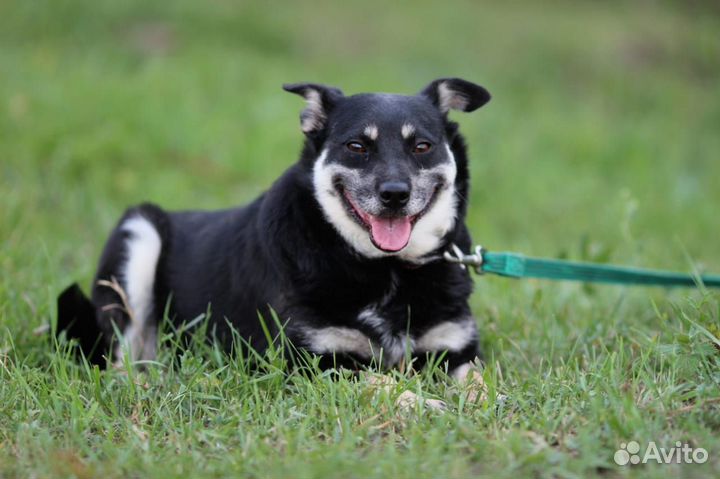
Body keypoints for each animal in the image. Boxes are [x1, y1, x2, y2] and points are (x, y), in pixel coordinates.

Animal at [56, 78, 492, 404]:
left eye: (422, 146)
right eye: (357, 146)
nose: (395, 194)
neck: (385, 268)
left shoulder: (457, 351)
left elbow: (482, 385)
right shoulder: (313, 363)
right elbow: (382, 383)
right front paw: (424, 404)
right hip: (138, 235)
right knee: (122, 363)